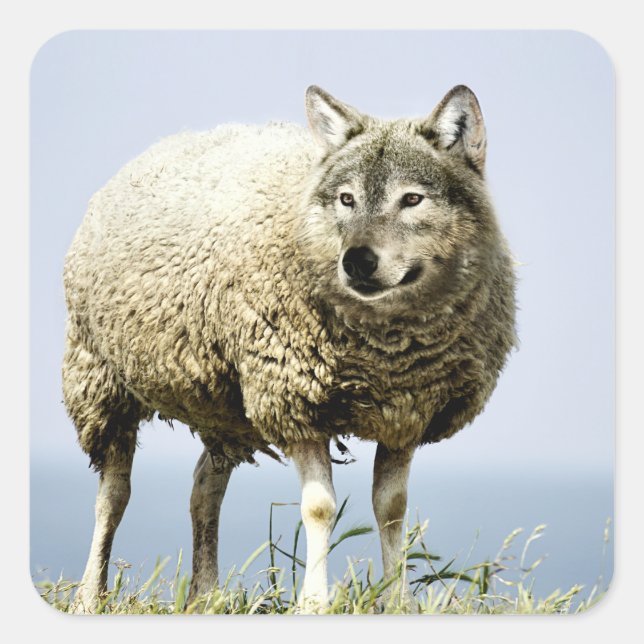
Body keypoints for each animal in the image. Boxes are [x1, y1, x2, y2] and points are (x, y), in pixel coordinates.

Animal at [63, 84, 516, 612]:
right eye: (346, 198)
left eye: (412, 199)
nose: (357, 261)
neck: (385, 350)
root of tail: (168, 142)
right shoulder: (294, 401)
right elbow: (319, 508)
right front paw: (315, 603)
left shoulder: (406, 412)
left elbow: (392, 508)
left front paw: (397, 600)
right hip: (99, 379)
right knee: (113, 495)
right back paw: (89, 596)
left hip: (226, 409)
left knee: (204, 487)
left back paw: (205, 595)